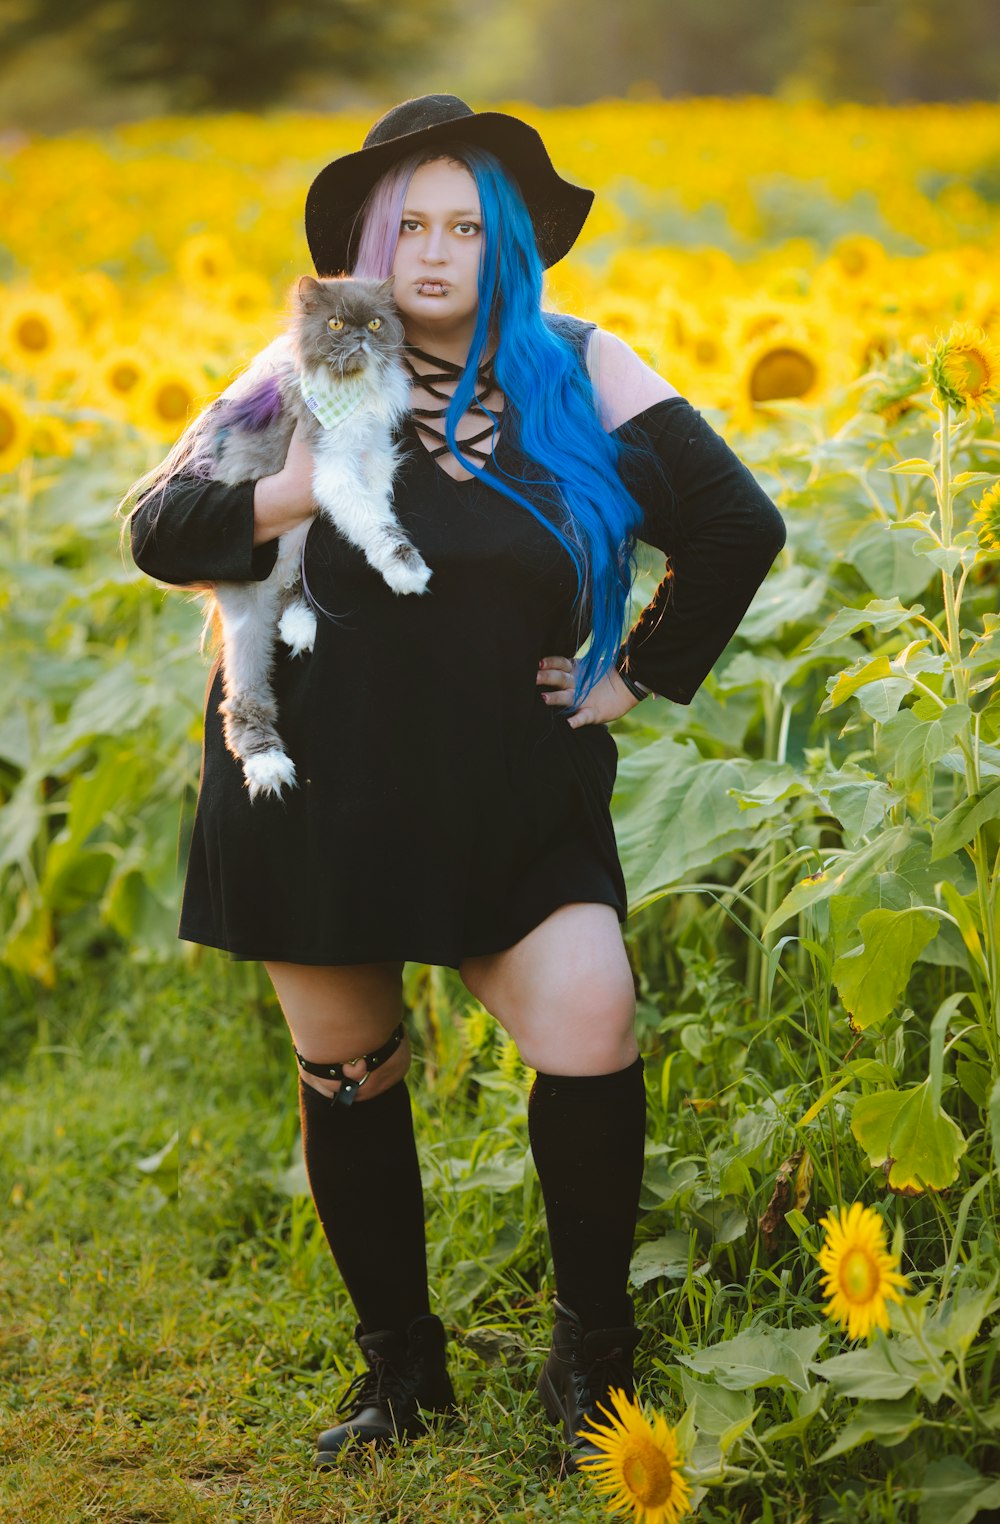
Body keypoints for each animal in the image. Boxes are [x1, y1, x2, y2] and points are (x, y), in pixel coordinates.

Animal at [201, 277, 426, 798]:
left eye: (376, 323)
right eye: (337, 323)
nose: (360, 337)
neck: (352, 391)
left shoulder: (375, 457)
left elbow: (379, 514)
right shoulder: (332, 470)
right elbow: (375, 523)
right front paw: (407, 571)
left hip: (294, 552)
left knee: (291, 593)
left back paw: (301, 626)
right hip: (247, 626)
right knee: (241, 702)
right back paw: (268, 766)